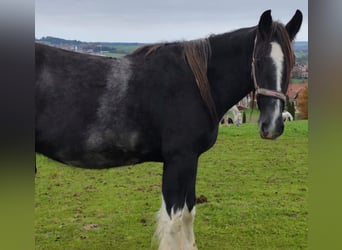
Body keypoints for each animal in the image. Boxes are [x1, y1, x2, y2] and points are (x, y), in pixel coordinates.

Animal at [35, 9, 302, 248]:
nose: (272, 126)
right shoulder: (178, 160)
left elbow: (188, 213)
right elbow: (173, 221)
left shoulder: (191, 160)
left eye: (291, 63)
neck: (197, 84)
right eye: (258, 60)